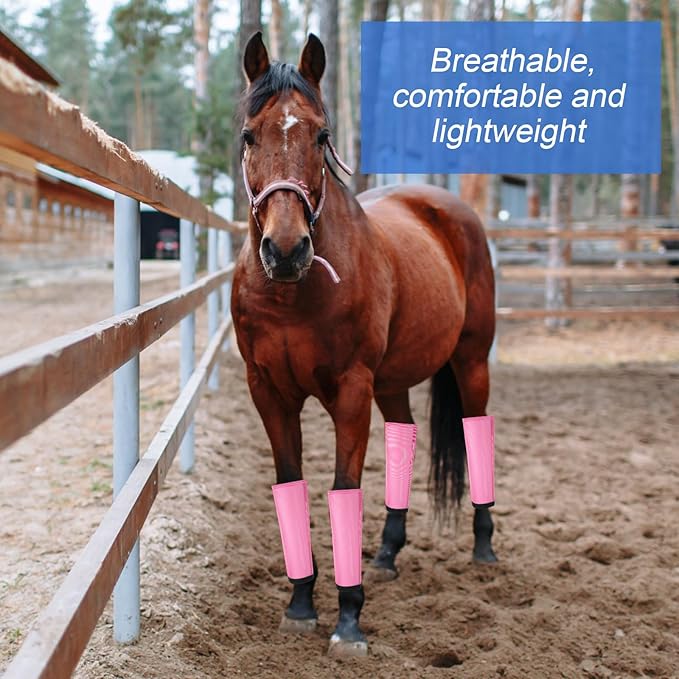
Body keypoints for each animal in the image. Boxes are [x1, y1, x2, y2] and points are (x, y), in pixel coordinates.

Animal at [231, 32, 497, 656]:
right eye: (249, 135)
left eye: (321, 135)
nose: (285, 250)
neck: (292, 293)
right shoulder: (268, 393)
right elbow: (292, 485)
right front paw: (300, 604)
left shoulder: (350, 391)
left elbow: (342, 488)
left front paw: (348, 618)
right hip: (393, 381)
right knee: (404, 433)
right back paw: (387, 553)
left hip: (471, 360)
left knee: (476, 428)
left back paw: (483, 545)